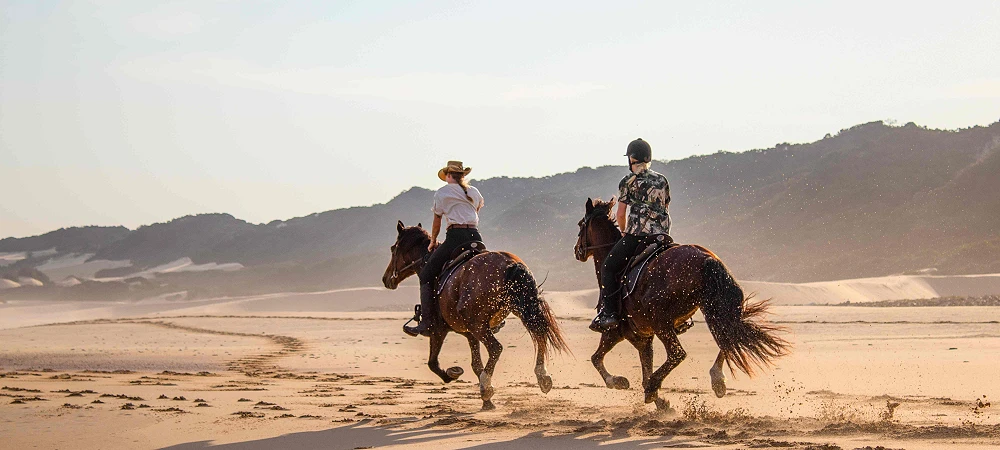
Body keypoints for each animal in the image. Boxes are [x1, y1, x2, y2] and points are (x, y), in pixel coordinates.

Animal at [382, 220, 570, 410]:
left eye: (393, 248)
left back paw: (486, 386)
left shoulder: (438, 330)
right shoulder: (469, 334)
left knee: (496, 348)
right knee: (539, 335)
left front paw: (454, 374)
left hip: (478, 325)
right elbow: (476, 365)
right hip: (517, 311)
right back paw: (543, 377)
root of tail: (509, 263)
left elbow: (433, 364)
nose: (386, 279)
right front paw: (488, 402)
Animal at [574, 198, 789, 408]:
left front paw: (620, 382)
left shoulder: (616, 332)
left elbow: (597, 359)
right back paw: (717, 380)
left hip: (662, 322)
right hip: (710, 308)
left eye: (580, 224)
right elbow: (642, 368)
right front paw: (660, 402)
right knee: (728, 336)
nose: (577, 251)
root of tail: (705, 259)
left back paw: (659, 385)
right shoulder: (643, 337)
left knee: (678, 354)